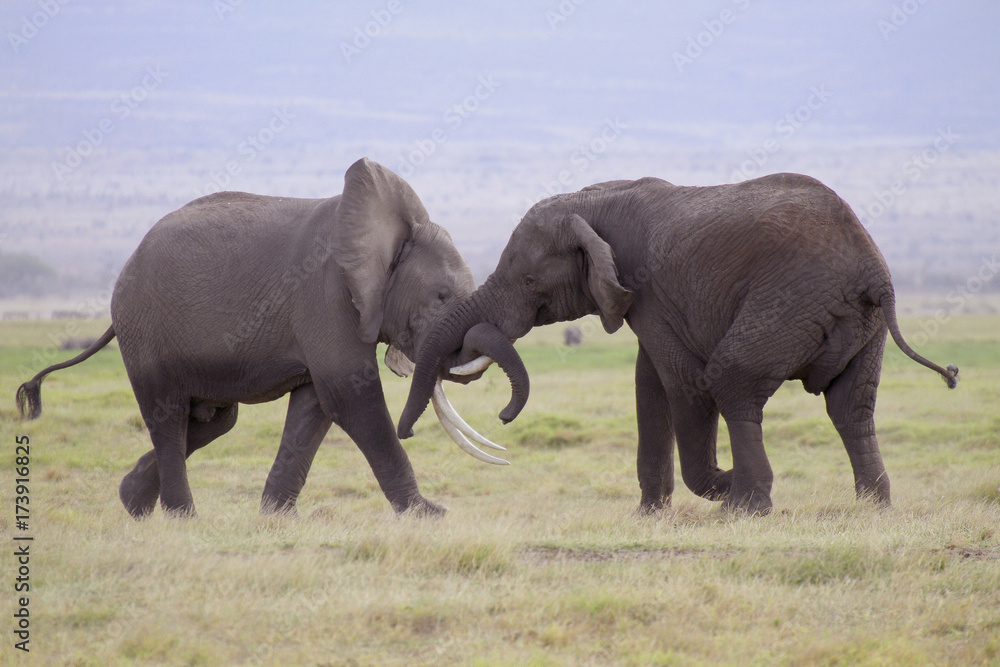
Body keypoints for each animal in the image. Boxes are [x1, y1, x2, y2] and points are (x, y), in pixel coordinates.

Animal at [15, 159, 524, 520]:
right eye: (441, 297)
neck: (388, 230)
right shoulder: (325, 294)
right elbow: (350, 396)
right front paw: (431, 515)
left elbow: (314, 407)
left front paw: (277, 519)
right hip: (145, 334)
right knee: (168, 417)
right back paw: (183, 519)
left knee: (213, 421)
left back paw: (132, 502)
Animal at [400, 172, 960, 516]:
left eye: (530, 281)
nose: (405, 433)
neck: (594, 201)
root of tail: (873, 272)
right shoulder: (645, 300)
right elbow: (648, 382)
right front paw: (650, 514)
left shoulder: (647, 285)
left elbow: (684, 383)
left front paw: (720, 482)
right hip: (860, 323)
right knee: (851, 407)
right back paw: (872, 506)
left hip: (790, 301)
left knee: (732, 378)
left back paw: (744, 505)